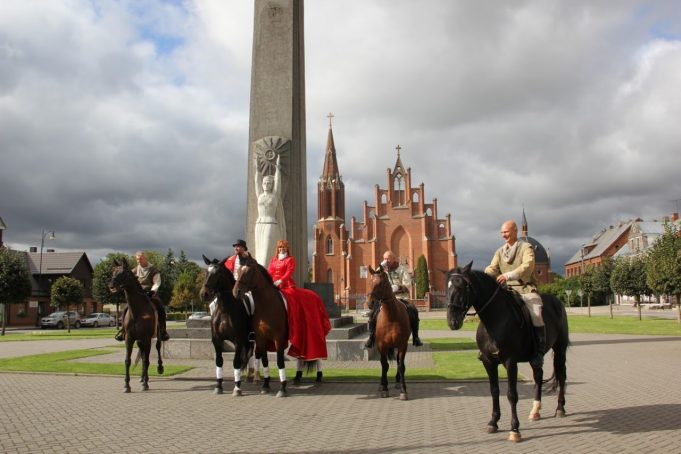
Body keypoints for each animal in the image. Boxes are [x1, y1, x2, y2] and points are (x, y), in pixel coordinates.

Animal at [108, 258, 164, 394]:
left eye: (123, 273)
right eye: (113, 272)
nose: (111, 286)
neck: (138, 311)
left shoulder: (147, 338)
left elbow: (146, 361)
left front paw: (145, 384)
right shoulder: (129, 338)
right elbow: (128, 361)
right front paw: (126, 385)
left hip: (156, 336)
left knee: (157, 349)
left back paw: (158, 369)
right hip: (139, 341)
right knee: (142, 355)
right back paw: (143, 377)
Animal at [199, 258, 266, 396]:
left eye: (218, 274)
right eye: (206, 273)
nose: (204, 294)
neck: (225, 309)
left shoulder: (238, 341)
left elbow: (236, 362)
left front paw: (237, 388)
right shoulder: (217, 340)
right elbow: (219, 361)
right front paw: (218, 386)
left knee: (257, 355)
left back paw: (256, 378)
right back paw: (249, 376)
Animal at [234, 258, 290, 400]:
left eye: (248, 272)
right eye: (238, 270)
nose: (236, 292)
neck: (267, 305)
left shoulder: (278, 338)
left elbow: (280, 361)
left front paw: (282, 388)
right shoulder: (261, 338)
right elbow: (265, 360)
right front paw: (265, 385)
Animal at [366, 266, 410, 400]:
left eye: (382, 283)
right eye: (369, 282)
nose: (370, 303)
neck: (391, 317)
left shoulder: (402, 345)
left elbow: (401, 366)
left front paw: (403, 390)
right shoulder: (382, 346)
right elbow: (384, 365)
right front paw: (384, 388)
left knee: (398, 362)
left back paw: (397, 382)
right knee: (383, 364)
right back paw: (382, 384)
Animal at [446, 260, 568, 442]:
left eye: (463, 286)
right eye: (447, 287)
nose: (452, 321)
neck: (494, 320)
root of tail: (557, 302)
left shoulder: (510, 362)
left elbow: (511, 394)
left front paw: (514, 429)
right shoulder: (489, 362)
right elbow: (494, 391)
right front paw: (493, 422)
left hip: (560, 349)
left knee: (561, 376)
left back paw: (560, 408)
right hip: (535, 357)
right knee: (538, 376)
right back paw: (535, 411)